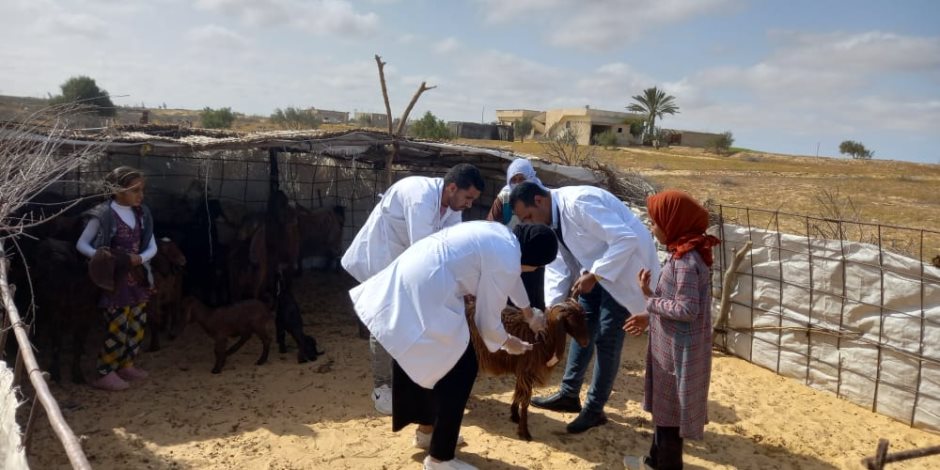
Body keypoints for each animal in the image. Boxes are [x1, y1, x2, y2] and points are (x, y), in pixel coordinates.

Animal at [468, 298, 592, 440]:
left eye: (583, 317)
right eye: (571, 319)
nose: (586, 342)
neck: (543, 339)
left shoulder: (522, 371)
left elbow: (518, 393)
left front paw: (515, 416)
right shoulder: (526, 372)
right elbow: (525, 402)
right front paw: (524, 432)